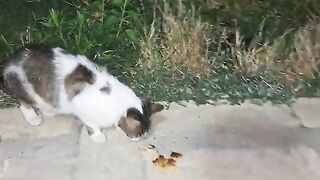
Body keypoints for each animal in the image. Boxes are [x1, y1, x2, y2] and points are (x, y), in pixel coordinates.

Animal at [0, 44, 164, 143]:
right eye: (139, 133)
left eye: (144, 133)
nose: (140, 139)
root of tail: (10, 61)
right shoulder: (82, 107)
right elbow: (91, 124)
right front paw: (98, 136)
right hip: (25, 89)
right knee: (24, 103)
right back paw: (33, 118)